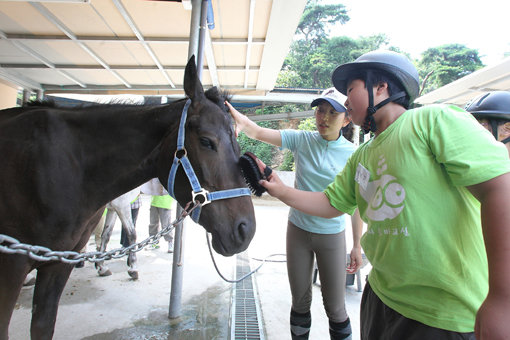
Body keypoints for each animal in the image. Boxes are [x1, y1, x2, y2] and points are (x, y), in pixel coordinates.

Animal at [0, 56, 255, 340]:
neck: (69, 166)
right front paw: (130, 267)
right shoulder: (10, 265)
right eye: (207, 141)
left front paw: (104, 266)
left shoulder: (60, 262)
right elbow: (129, 235)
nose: (245, 230)